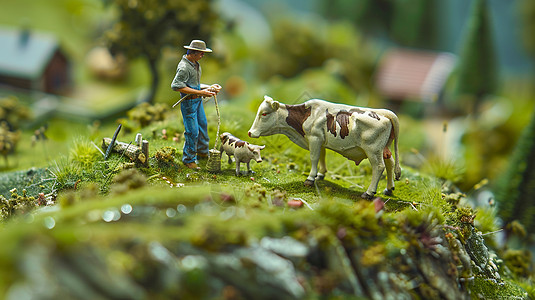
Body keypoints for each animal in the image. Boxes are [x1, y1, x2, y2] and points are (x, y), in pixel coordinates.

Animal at [249, 96, 400, 199]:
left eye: (264, 113)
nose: (250, 133)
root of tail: (385, 113)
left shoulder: (315, 138)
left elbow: (314, 157)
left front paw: (310, 178)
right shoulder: (319, 141)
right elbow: (322, 155)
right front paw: (321, 174)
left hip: (373, 150)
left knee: (379, 167)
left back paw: (369, 193)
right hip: (384, 149)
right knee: (390, 163)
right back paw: (389, 189)